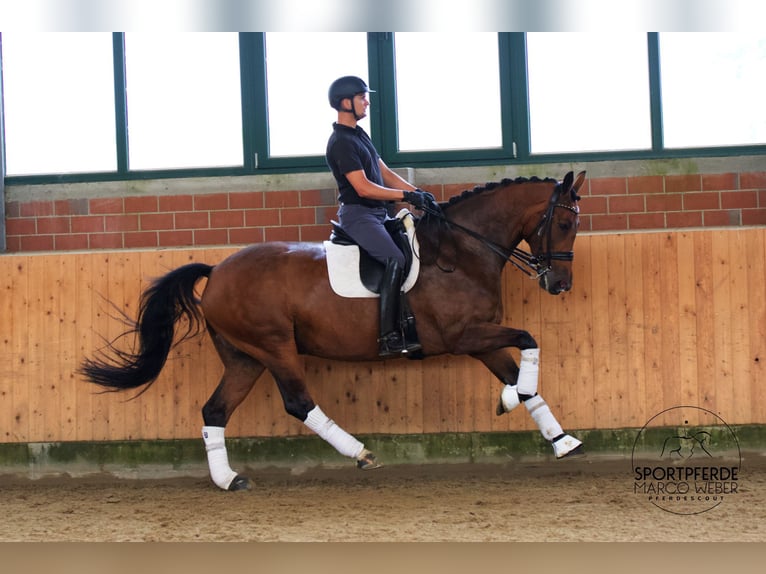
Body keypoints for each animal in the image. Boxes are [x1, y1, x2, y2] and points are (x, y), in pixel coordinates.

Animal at [81, 170, 588, 490]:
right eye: (564, 222)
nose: (560, 284)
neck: (459, 252)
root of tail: (218, 271)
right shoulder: (462, 336)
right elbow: (528, 341)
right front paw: (514, 401)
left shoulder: (480, 336)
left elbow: (521, 376)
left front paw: (559, 438)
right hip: (274, 347)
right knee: (298, 403)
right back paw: (359, 453)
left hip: (245, 357)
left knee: (215, 410)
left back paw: (228, 480)